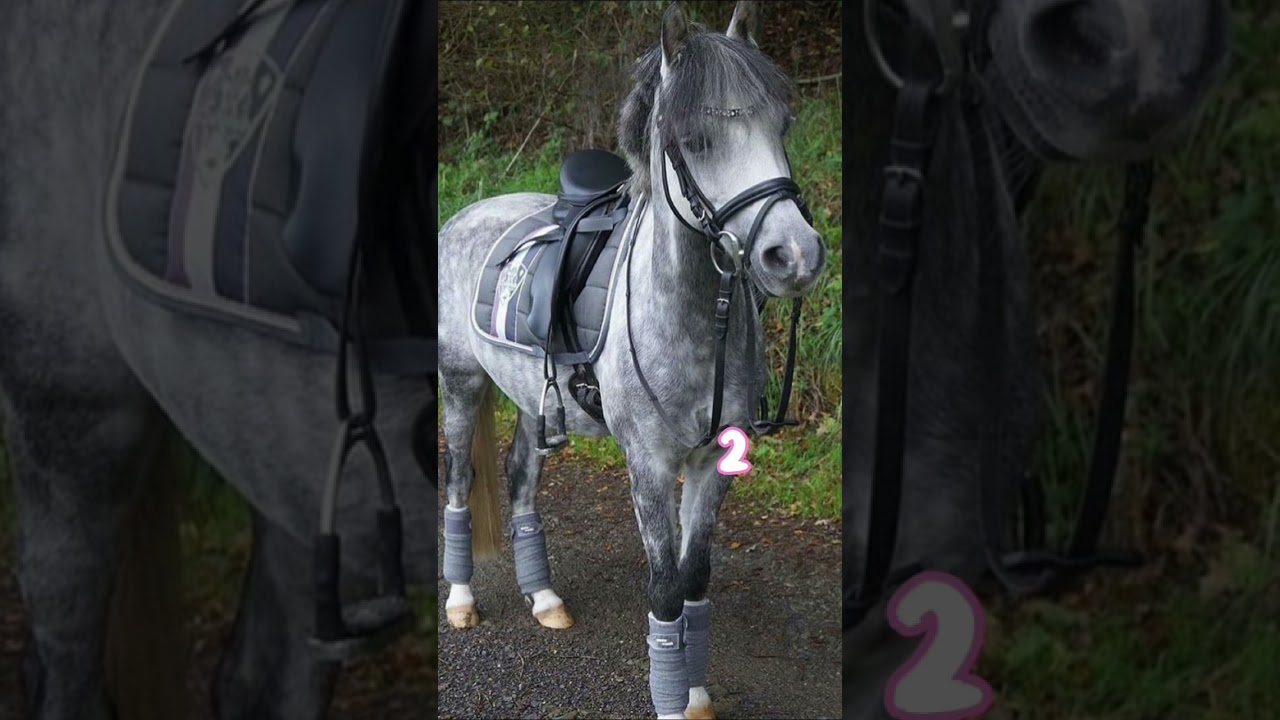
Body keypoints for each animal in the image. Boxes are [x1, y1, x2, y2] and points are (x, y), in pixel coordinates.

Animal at [436, 2, 829, 718]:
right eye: (695, 140)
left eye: (781, 127)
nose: (796, 255)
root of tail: (467, 214)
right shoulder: (647, 465)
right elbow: (665, 586)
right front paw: (673, 699)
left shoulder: (712, 464)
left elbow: (695, 579)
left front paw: (694, 694)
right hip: (461, 382)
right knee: (457, 481)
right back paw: (461, 600)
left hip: (534, 400)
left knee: (519, 478)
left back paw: (545, 599)